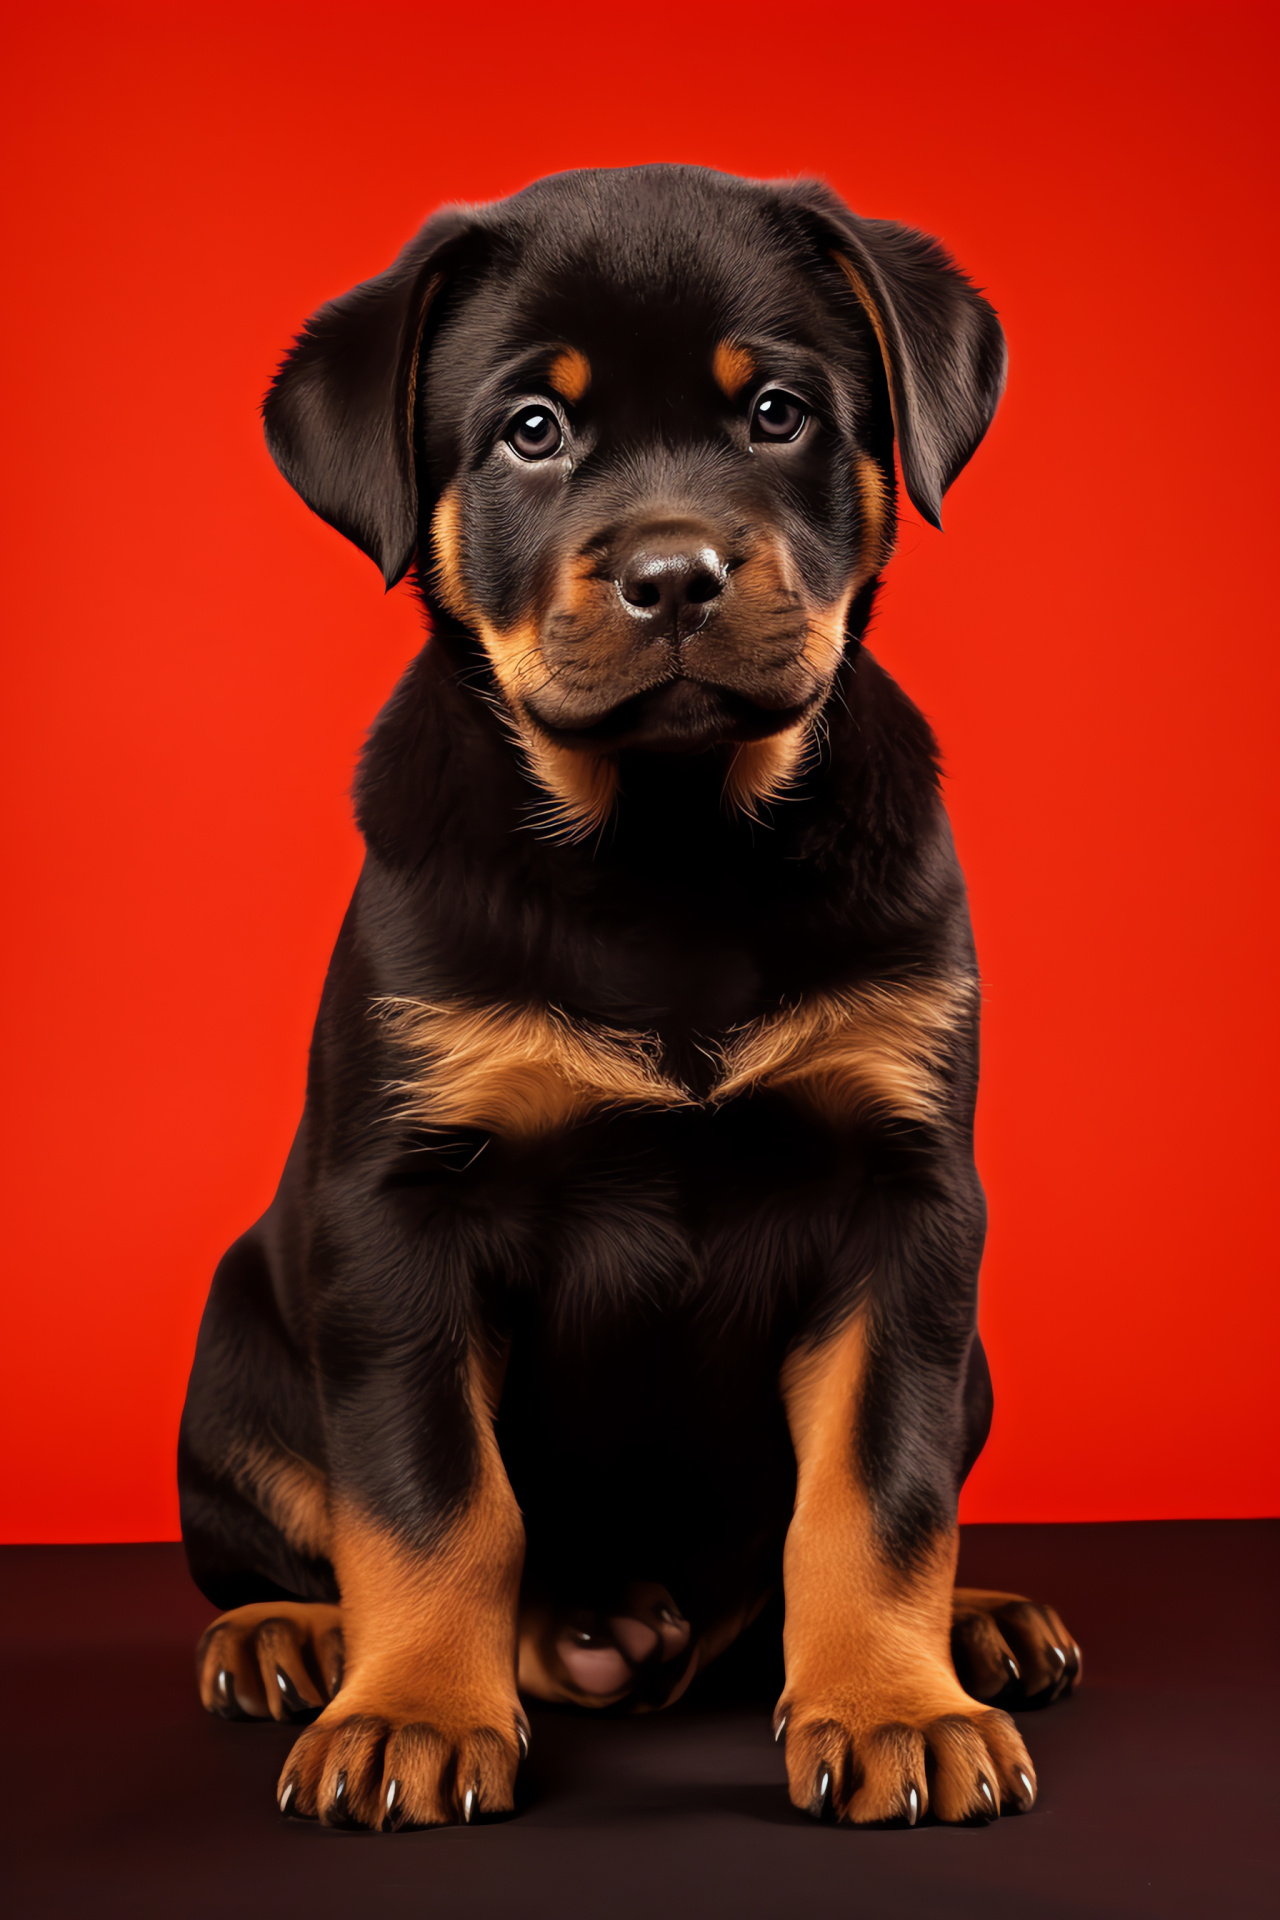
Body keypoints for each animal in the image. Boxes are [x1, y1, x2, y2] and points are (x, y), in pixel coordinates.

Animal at [180, 165, 1082, 1827]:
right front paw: (409, 1709)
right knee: (296, 1523)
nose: (676, 575)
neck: (671, 846)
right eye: (533, 428)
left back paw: (976, 1626)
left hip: (972, 1350)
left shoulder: (908, 1207)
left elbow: (878, 1487)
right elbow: (430, 1495)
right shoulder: (401, 1213)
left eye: (778, 412)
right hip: (235, 1345)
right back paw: (293, 1636)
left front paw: (894, 1703)